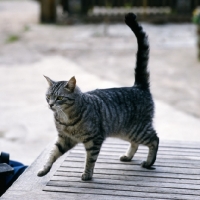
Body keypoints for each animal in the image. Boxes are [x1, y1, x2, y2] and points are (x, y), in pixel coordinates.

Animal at [37, 12, 159, 181]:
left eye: (59, 98)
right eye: (48, 96)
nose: (50, 104)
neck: (66, 119)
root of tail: (138, 86)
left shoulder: (94, 140)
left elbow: (90, 159)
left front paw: (87, 175)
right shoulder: (64, 139)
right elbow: (52, 154)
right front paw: (44, 169)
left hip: (137, 129)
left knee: (155, 139)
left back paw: (149, 162)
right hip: (126, 131)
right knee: (136, 143)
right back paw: (128, 156)